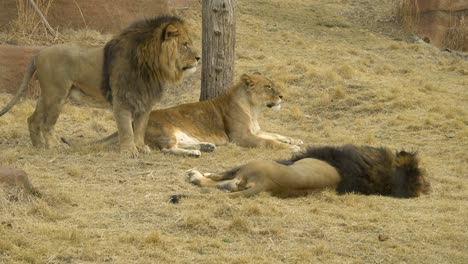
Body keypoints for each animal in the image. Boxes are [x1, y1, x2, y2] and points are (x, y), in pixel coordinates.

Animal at [0, 15, 199, 157]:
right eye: (185, 44)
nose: (199, 58)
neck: (151, 67)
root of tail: (39, 53)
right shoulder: (122, 100)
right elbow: (126, 128)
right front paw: (129, 151)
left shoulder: (145, 102)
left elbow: (140, 128)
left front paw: (141, 148)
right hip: (56, 95)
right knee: (47, 124)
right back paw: (54, 147)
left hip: (47, 95)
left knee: (32, 119)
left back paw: (39, 147)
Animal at [98, 72, 304, 157]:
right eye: (268, 86)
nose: (282, 96)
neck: (254, 109)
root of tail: (134, 122)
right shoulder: (241, 137)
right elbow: (269, 142)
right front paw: (293, 148)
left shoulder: (256, 131)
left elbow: (275, 134)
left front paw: (295, 140)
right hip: (166, 131)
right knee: (167, 149)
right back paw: (195, 153)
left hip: (182, 134)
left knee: (181, 144)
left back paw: (206, 146)